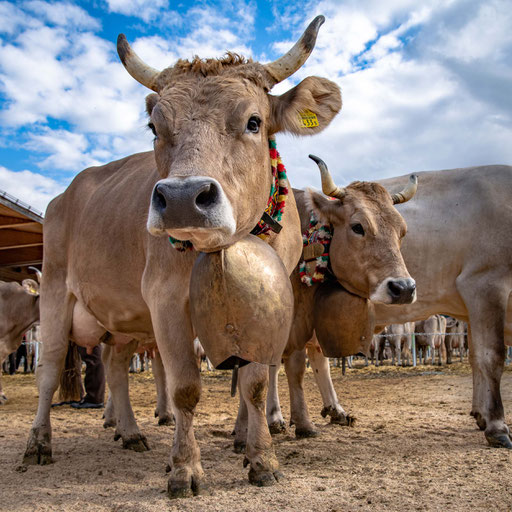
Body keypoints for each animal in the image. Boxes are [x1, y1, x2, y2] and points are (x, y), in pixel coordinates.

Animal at [25, 17, 344, 496]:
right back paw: (39, 444)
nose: (180, 199)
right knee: (47, 370)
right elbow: (185, 389)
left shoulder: (269, 304)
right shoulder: (165, 299)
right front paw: (185, 469)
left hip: (122, 320)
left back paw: (130, 432)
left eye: (253, 122)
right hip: (55, 293)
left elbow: (254, 383)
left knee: (115, 368)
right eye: (155, 128)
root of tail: (66, 193)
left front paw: (261, 458)